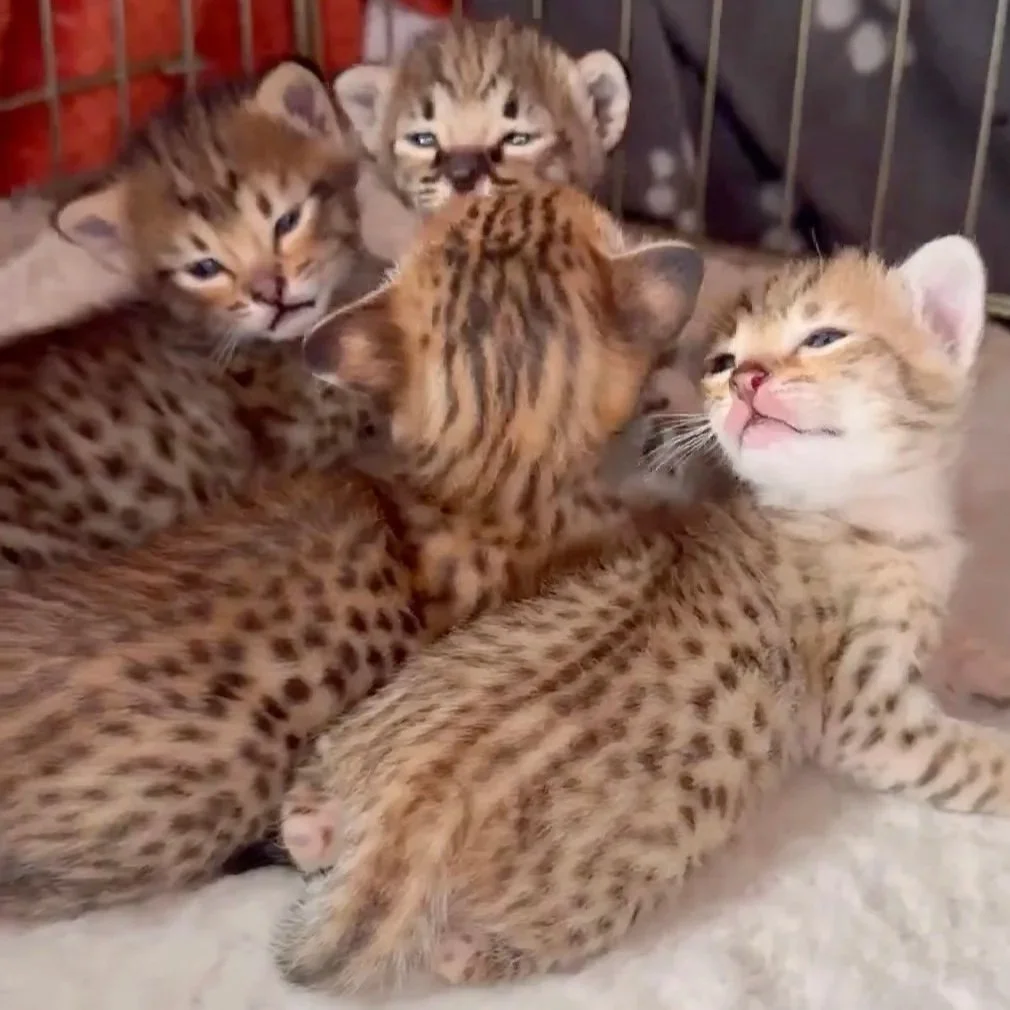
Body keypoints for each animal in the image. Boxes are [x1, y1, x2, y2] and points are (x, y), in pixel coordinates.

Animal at [271, 232, 1010, 995]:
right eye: (723, 362)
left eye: (825, 338)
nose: (747, 380)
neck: (870, 510)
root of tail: (407, 811)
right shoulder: (870, 718)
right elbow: (972, 760)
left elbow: (956, 645)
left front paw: (990, 663)